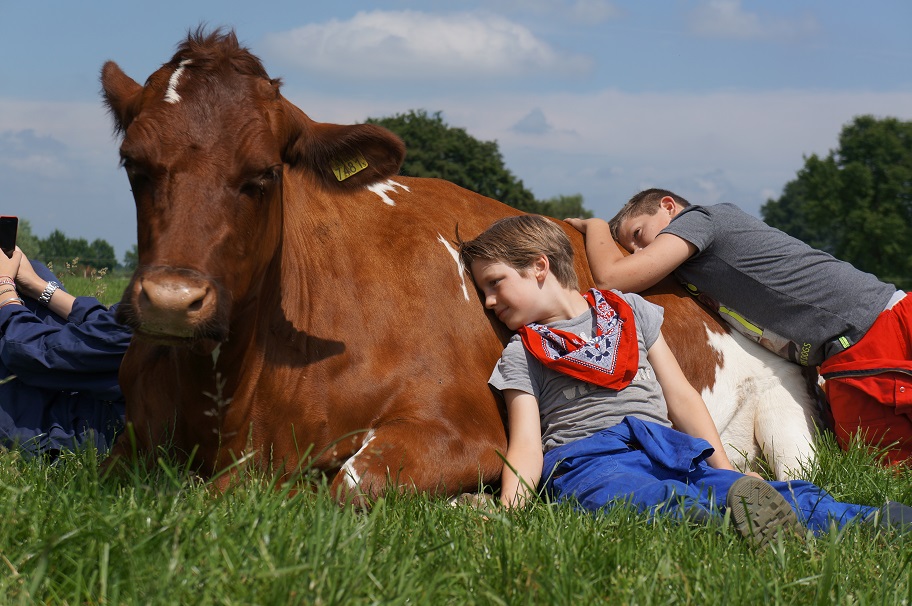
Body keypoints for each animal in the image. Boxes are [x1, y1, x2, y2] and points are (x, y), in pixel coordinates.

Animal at [100, 28, 820, 506]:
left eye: (264, 174)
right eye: (134, 165)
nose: (172, 299)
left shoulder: (469, 433)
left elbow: (346, 484)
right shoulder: (125, 446)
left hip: (789, 426)